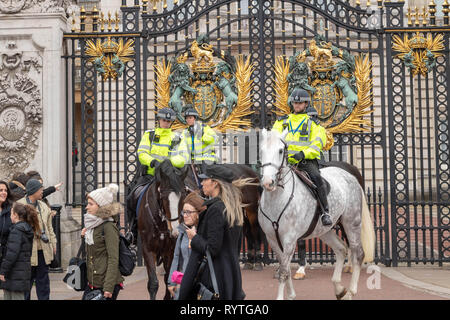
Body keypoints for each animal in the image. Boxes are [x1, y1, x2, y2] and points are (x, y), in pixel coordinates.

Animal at [258, 128, 374, 300]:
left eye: (280, 151)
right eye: (261, 150)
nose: (267, 182)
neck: (277, 199)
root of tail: (351, 176)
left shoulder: (290, 239)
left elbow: (284, 271)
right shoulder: (272, 239)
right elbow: (285, 268)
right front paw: (291, 294)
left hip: (351, 223)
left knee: (358, 253)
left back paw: (350, 292)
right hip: (324, 230)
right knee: (341, 249)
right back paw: (339, 288)